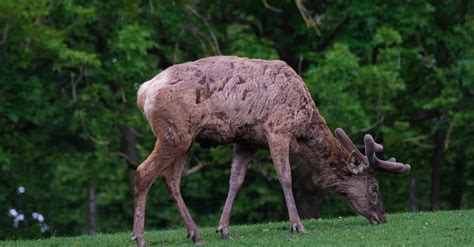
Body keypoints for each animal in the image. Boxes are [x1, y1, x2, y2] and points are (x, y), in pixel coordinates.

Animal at [131, 55, 410, 246]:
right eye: (374, 188)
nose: (382, 217)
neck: (303, 127)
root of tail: (143, 91)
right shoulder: (278, 129)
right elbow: (285, 177)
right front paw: (297, 225)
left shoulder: (247, 141)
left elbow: (236, 180)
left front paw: (224, 229)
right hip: (174, 133)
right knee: (143, 172)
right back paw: (139, 236)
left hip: (188, 139)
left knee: (171, 178)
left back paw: (195, 232)